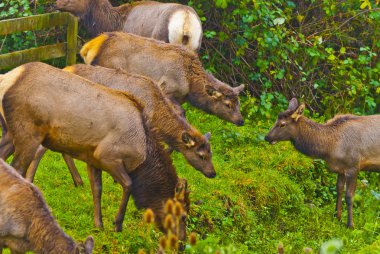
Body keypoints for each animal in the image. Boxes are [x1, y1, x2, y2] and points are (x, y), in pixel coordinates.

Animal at [80, 32, 246, 125]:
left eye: (238, 103)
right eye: (228, 104)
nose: (241, 121)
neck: (190, 84)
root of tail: (89, 46)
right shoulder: (166, 88)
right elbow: (181, 113)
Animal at [264, 97, 380, 228]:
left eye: (282, 124)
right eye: (276, 120)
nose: (267, 137)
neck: (329, 148)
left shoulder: (353, 166)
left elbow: (349, 196)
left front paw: (350, 225)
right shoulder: (341, 169)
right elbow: (339, 190)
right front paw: (337, 217)